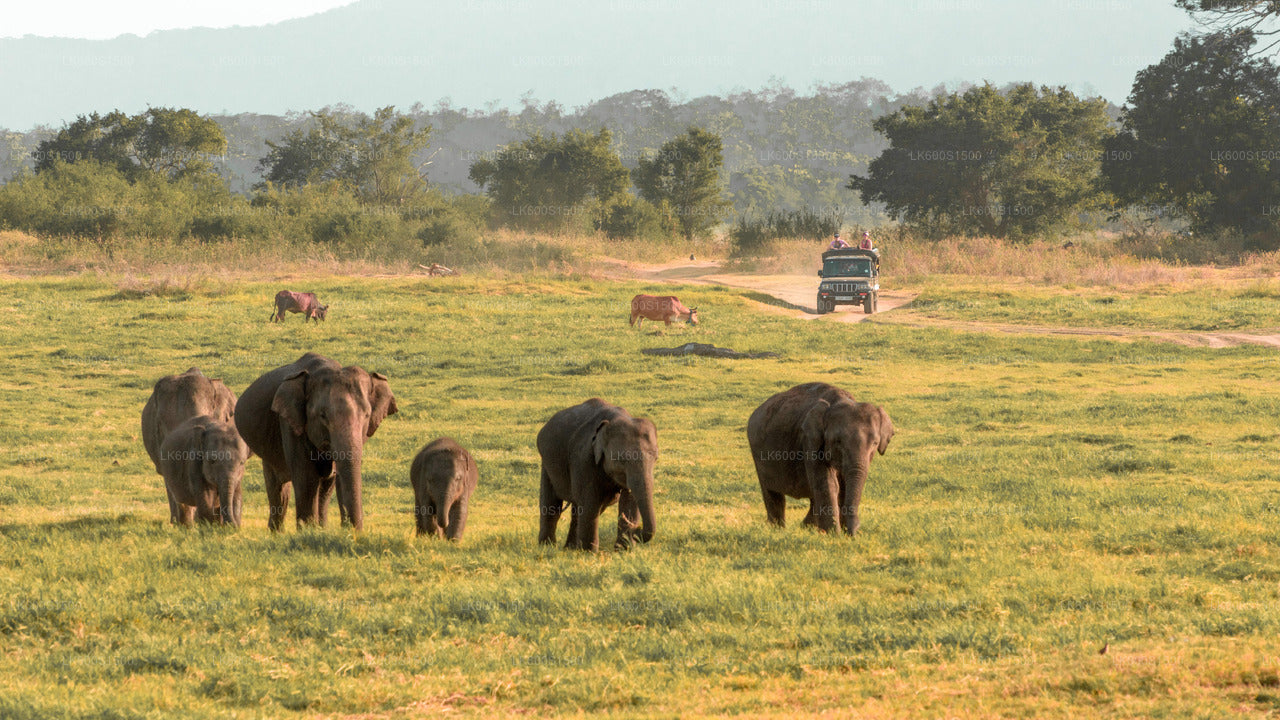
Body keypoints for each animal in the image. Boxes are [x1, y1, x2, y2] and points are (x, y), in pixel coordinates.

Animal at [232, 351, 394, 530]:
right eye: (322, 415)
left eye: (366, 415)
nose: (352, 530)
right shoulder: (290, 422)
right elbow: (306, 476)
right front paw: (307, 531)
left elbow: (331, 479)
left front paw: (323, 531)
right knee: (277, 488)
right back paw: (276, 532)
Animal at [537, 397, 660, 548]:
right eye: (621, 459)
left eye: (656, 458)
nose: (636, 529)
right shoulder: (583, 458)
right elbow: (590, 502)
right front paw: (589, 551)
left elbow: (629, 500)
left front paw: (623, 549)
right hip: (546, 464)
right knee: (552, 507)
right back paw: (547, 546)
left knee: (578, 509)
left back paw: (570, 548)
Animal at [747, 381, 896, 532]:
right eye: (838, 441)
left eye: (875, 443)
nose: (853, 532)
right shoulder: (810, 440)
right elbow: (828, 483)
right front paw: (834, 534)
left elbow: (843, 485)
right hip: (758, 452)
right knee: (772, 493)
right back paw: (777, 530)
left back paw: (806, 527)